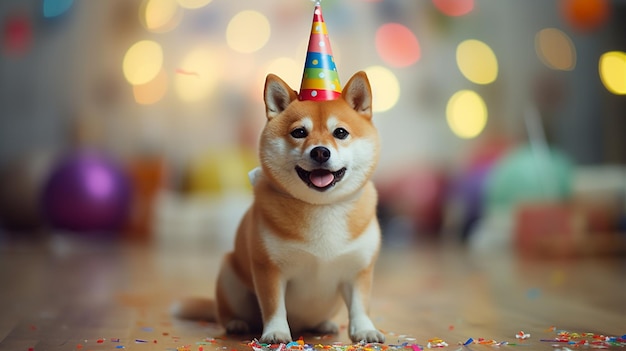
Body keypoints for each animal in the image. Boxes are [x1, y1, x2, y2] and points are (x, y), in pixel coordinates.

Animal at [173, 71, 382, 346]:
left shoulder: (359, 269)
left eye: (340, 132)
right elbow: (274, 306)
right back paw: (237, 324)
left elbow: (360, 305)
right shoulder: (269, 269)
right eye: (299, 132)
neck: (322, 207)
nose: (320, 152)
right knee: (229, 313)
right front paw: (276, 333)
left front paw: (365, 329)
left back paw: (323, 325)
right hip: (230, 276)